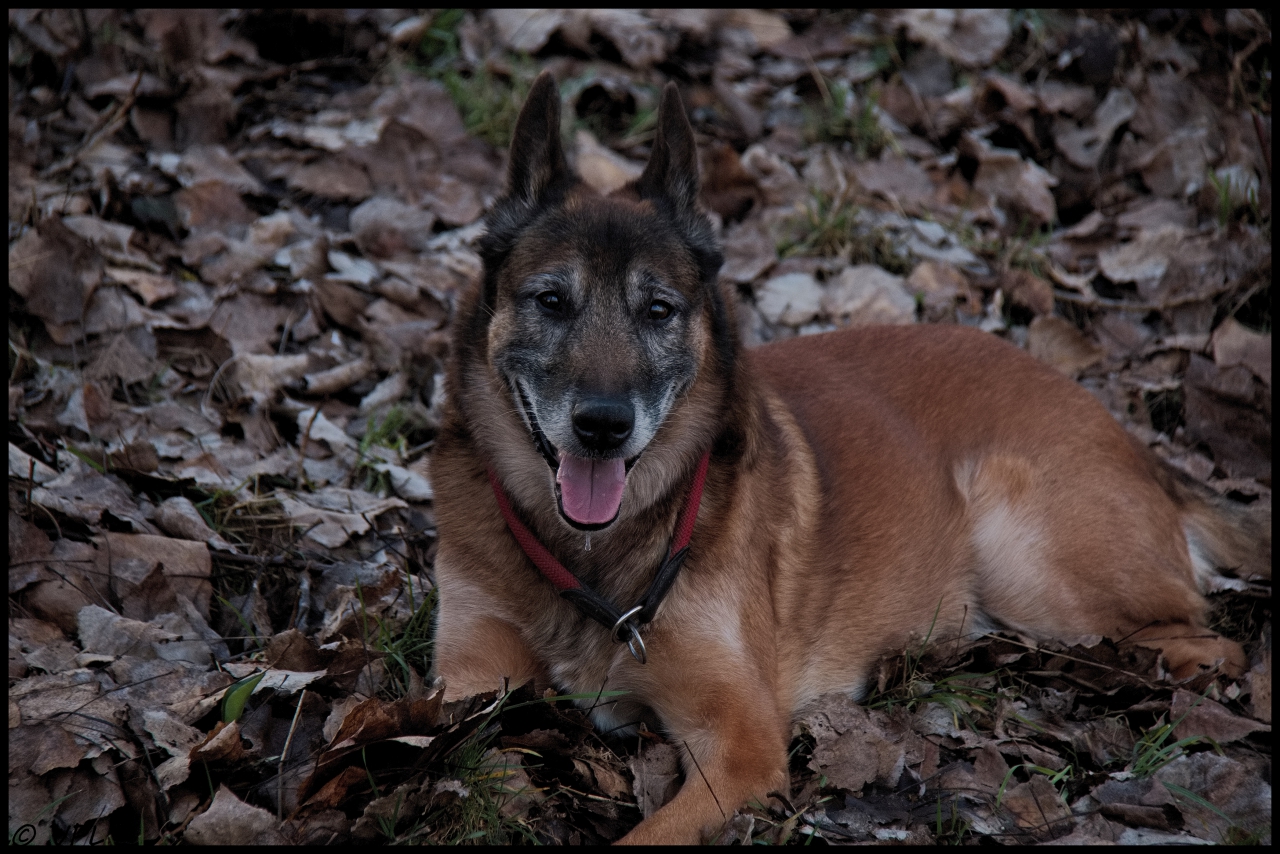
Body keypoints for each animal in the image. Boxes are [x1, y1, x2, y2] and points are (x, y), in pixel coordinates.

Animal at [430, 71, 1268, 844]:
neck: (594, 560)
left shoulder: (740, 744)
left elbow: (648, 835)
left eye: (658, 311)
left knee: (1207, 634)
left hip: (1029, 560)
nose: (603, 426)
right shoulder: (463, 680)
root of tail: (1128, 436)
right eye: (551, 301)